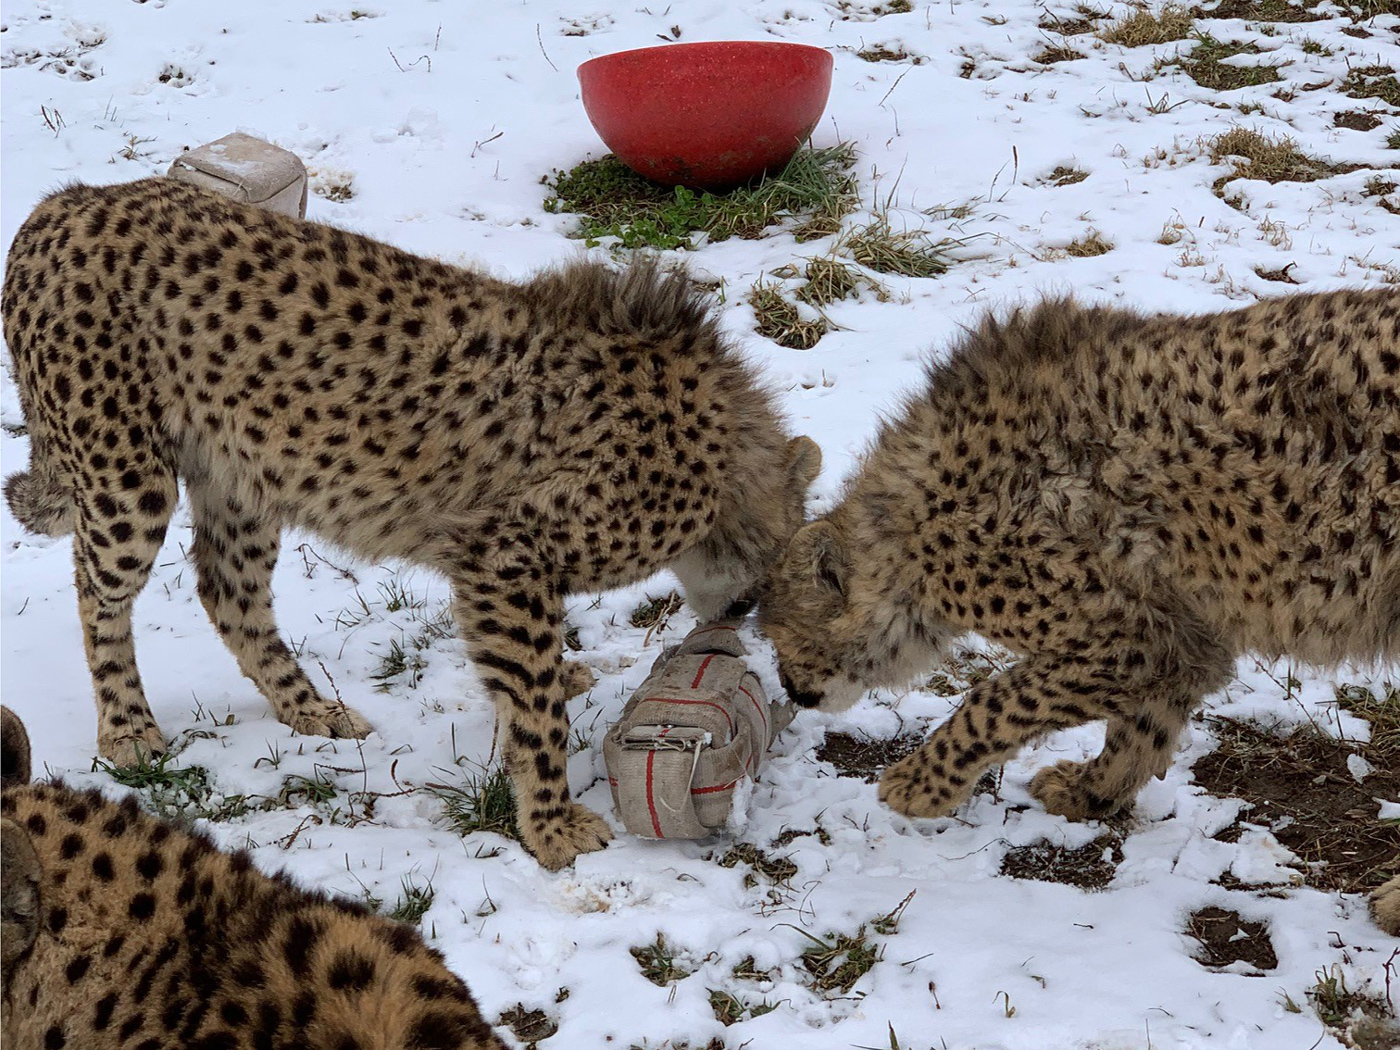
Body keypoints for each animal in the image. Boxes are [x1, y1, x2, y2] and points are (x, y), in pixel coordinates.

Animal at [2, 179, 817, 873]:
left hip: (242, 475)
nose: (740, 618)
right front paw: (551, 825)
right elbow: (536, 708)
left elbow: (523, 675)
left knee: (227, 590)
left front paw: (547, 703)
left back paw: (310, 708)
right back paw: (127, 726)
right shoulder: (504, 550)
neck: (726, 463)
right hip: (127, 477)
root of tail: (64, 203)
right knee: (101, 592)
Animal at [761, 289, 1400, 935]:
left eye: (782, 636)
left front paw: (920, 784)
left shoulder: (1130, 641)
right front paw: (1093, 792)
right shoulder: (1183, 642)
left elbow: (996, 699)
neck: (907, 535)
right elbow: (1143, 724)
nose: (792, 690)